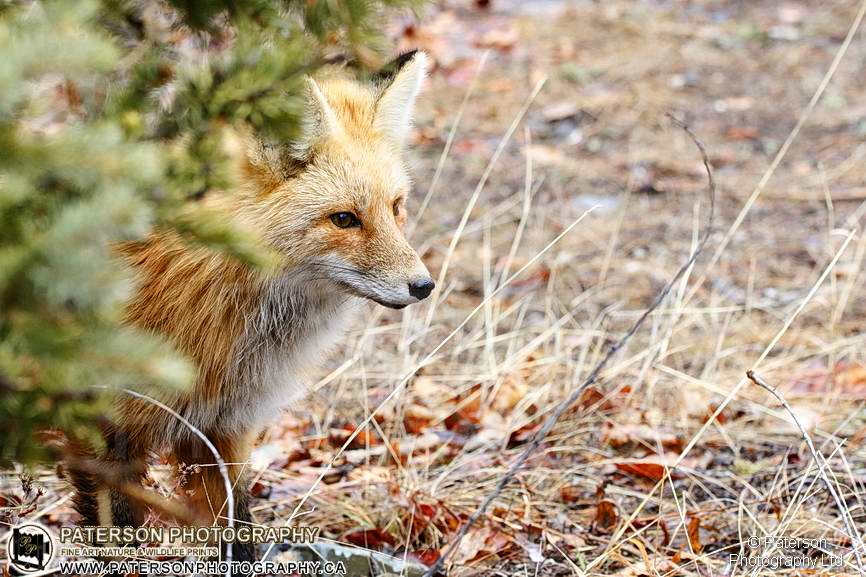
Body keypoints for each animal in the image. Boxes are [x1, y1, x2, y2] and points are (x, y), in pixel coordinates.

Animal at [68, 53, 436, 560]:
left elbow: (236, 526)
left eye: (396, 207)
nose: (424, 286)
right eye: (344, 219)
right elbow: (119, 539)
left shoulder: (224, 429)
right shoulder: (106, 433)